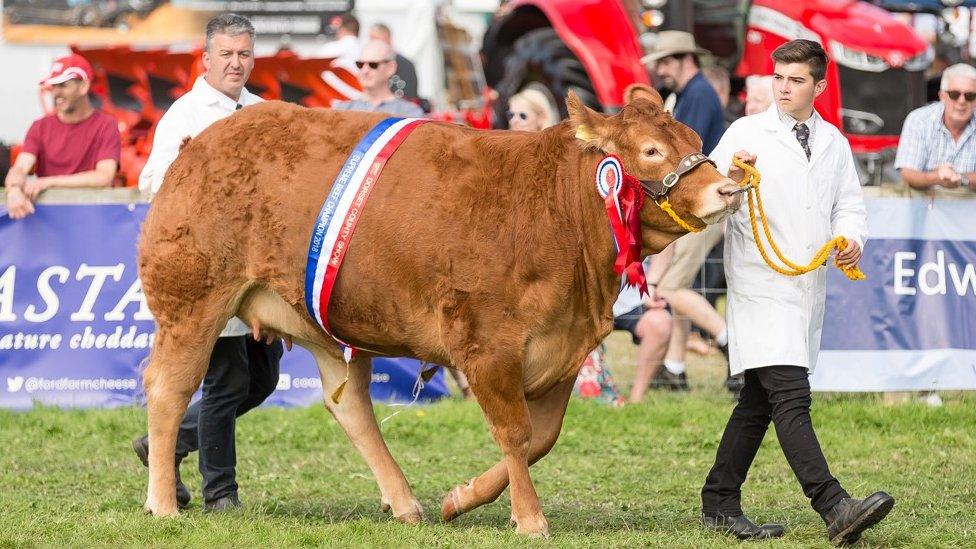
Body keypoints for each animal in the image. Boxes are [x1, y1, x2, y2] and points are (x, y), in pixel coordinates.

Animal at [139, 85, 740, 536]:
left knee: (349, 406)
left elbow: (541, 438)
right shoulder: (488, 346)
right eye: (651, 151)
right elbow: (516, 434)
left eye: (695, 138)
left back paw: (405, 502)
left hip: (322, 324)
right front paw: (530, 518)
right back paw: (162, 503)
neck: (552, 210)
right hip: (191, 301)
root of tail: (202, 141)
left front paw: (461, 497)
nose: (729, 188)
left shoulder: (566, 348)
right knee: (169, 390)